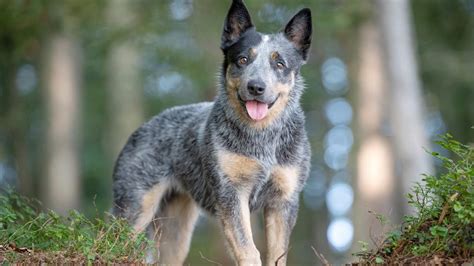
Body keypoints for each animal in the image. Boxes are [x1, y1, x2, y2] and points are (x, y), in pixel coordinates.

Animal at [111, 1, 312, 264]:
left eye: (279, 64)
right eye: (242, 59)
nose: (256, 87)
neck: (262, 139)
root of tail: (142, 128)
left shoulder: (284, 201)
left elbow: (277, 255)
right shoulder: (231, 193)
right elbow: (248, 250)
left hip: (175, 231)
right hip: (135, 208)